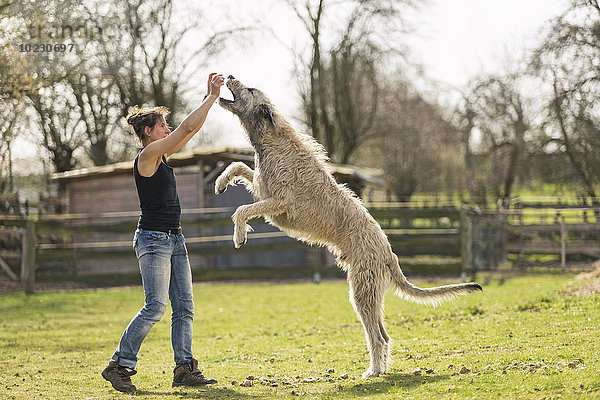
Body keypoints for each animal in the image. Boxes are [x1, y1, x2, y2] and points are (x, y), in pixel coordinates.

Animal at [216, 76, 482, 380]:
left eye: (249, 89)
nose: (229, 76)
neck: (271, 139)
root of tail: (389, 252)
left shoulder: (280, 202)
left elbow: (242, 209)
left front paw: (239, 234)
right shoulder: (262, 188)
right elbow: (239, 166)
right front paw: (221, 182)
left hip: (362, 290)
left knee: (377, 337)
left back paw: (374, 371)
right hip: (370, 292)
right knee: (384, 335)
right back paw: (380, 368)